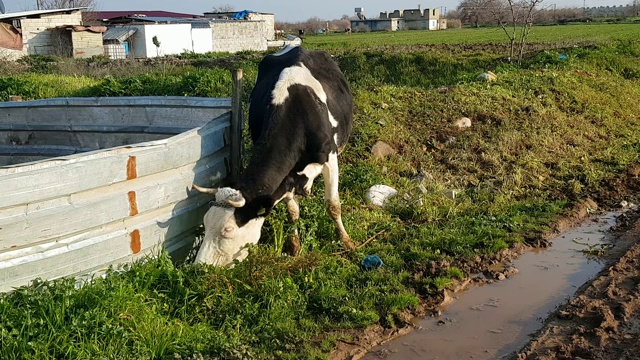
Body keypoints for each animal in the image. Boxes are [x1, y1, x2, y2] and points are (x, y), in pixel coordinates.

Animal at [192, 45, 358, 268]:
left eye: (228, 230)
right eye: (205, 221)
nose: (199, 267)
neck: (297, 114)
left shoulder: (330, 158)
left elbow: (333, 205)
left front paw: (346, 241)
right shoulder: (285, 177)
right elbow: (293, 211)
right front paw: (294, 246)